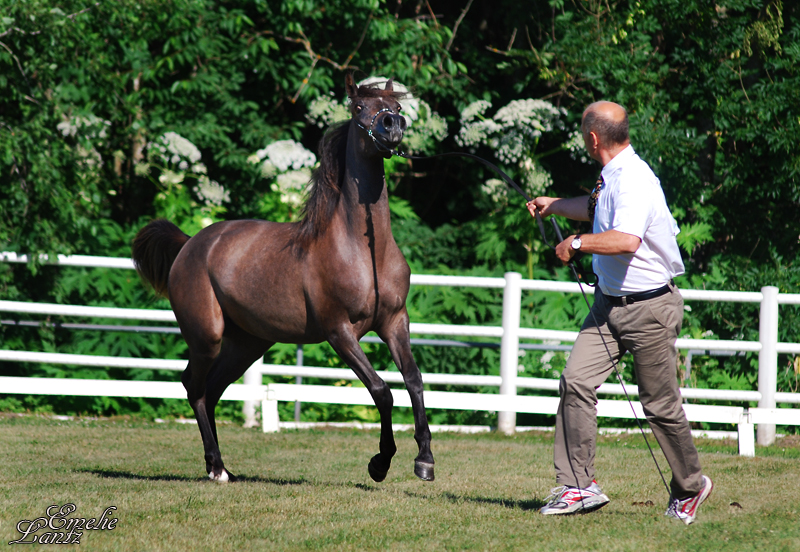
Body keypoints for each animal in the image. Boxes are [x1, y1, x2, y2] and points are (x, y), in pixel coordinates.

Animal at [136, 72, 438, 484]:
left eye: (397, 106)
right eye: (359, 107)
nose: (392, 127)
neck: (364, 251)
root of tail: (190, 244)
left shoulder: (394, 321)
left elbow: (414, 380)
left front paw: (425, 459)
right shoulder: (339, 332)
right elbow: (381, 390)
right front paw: (380, 462)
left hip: (246, 344)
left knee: (211, 390)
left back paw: (221, 466)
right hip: (206, 337)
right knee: (193, 388)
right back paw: (216, 468)